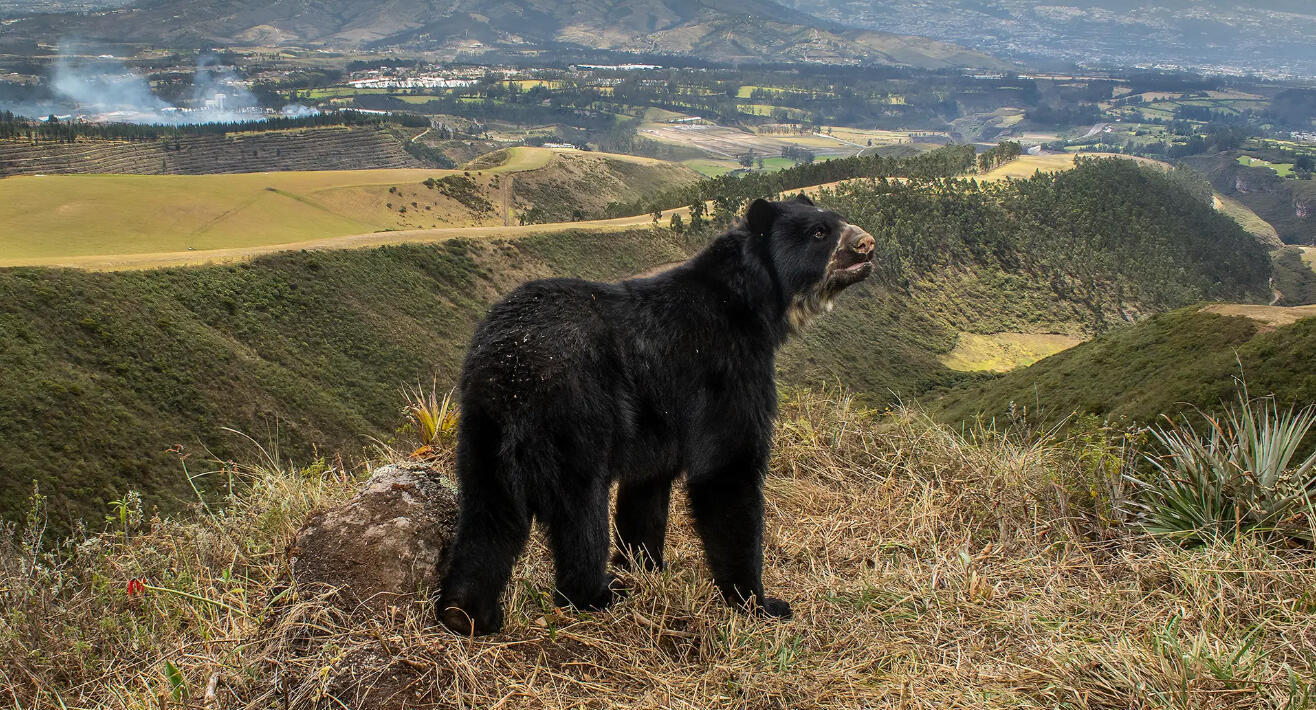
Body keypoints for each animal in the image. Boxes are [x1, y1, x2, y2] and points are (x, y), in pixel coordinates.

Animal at [436, 193, 879, 631]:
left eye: (837, 219)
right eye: (820, 232)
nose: (867, 243)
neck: (750, 302)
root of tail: (510, 364)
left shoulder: (662, 418)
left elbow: (647, 488)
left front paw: (645, 564)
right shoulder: (725, 370)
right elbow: (727, 468)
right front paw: (759, 602)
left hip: (482, 426)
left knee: (490, 516)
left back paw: (466, 612)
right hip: (576, 415)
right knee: (579, 513)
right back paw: (595, 594)